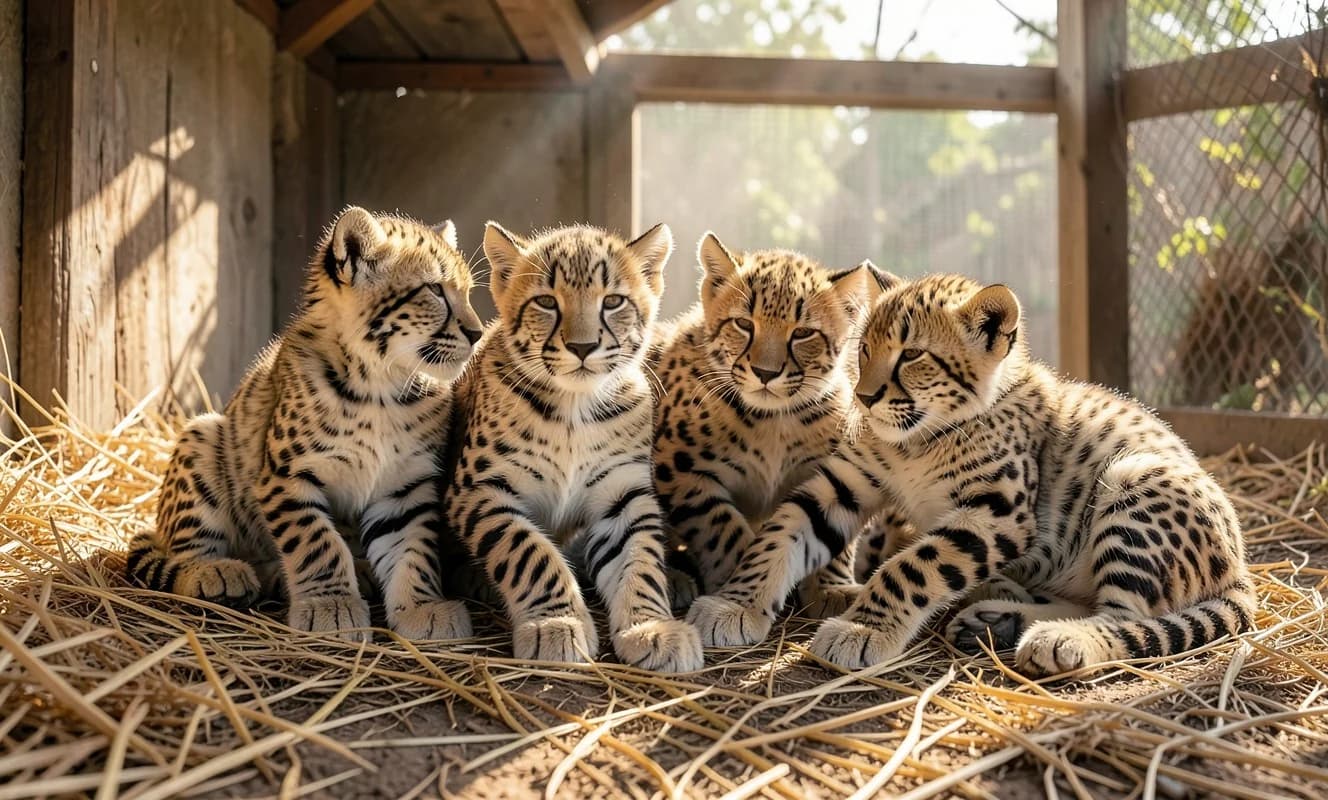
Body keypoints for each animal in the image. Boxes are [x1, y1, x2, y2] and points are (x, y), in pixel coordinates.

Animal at [127, 206, 483, 643]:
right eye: (434, 290)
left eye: (468, 293)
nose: (477, 333)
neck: (382, 387)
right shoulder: (286, 476)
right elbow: (317, 542)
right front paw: (331, 606)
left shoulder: (405, 486)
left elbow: (414, 550)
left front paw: (421, 607)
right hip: (202, 435)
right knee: (183, 550)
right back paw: (214, 572)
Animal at [440, 221, 703, 672]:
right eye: (546, 302)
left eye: (613, 302)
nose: (582, 347)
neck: (575, 409)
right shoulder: (479, 489)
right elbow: (529, 552)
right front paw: (555, 624)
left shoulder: (623, 496)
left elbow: (640, 561)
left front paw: (652, 627)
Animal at [651, 232, 909, 617]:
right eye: (744, 324)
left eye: (802, 334)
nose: (765, 373)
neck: (775, 421)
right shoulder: (680, 470)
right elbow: (720, 527)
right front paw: (743, 578)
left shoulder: (834, 472)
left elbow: (836, 533)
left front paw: (830, 588)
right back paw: (673, 579)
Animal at [689, 273, 1256, 676]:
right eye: (864, 350)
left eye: (912, 355)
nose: (864, 398)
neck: (918, 439)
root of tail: (1241, 567)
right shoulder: (841, 486)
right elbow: (780, 533)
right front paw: (736, 604)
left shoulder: (996, 515)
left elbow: (910, 567)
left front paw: (864, 631)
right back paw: (998, 616)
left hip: (1133, 479)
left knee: (1125, 618)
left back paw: (1060, 640)